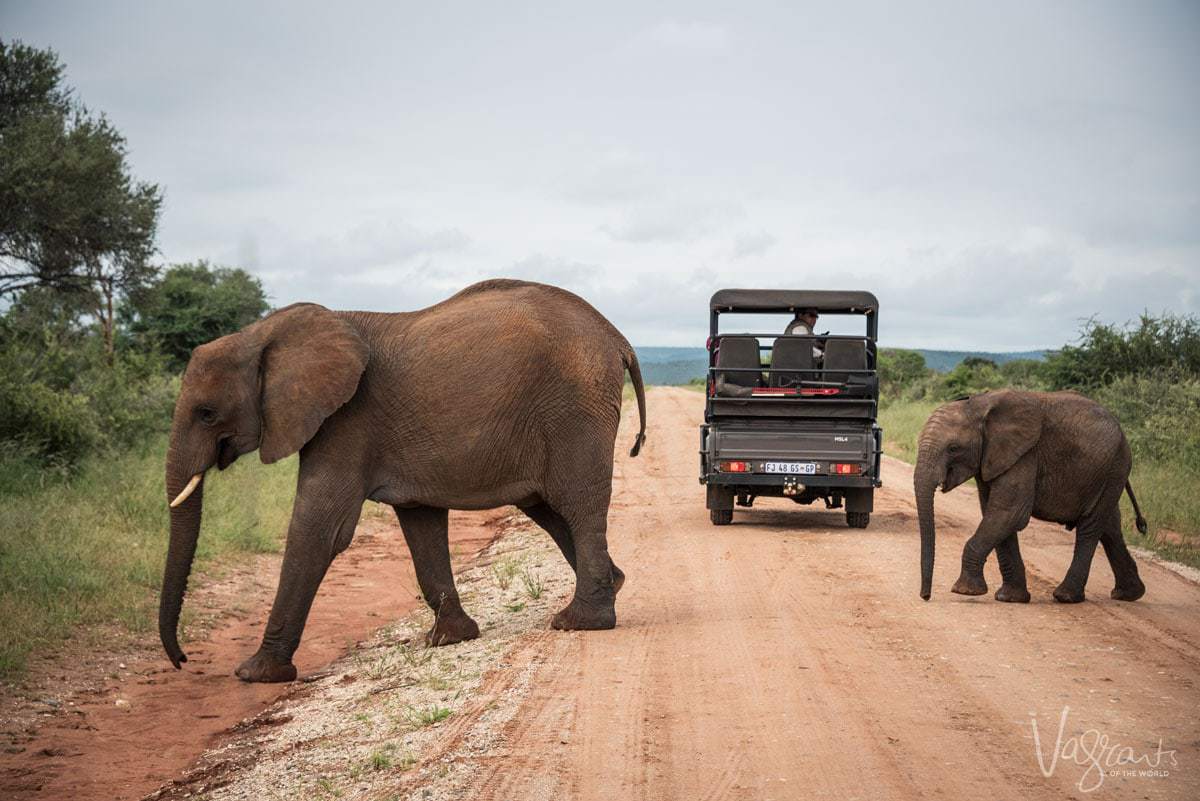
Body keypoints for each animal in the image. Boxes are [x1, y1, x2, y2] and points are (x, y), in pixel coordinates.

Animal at [163, 280, 648, 681]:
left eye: (206, 413)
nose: (182, 660)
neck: (261, 334)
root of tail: (618, 338)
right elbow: (420, 524)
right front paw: (448, 639)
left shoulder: (346, 421)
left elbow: (320, 528)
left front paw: (256, 674)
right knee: (547, 507)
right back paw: (613, 585)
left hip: (574, 409)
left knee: (577, 505)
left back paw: (579, 622)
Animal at [912, 390, 1147, 604]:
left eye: (953, 448)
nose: (926, 596)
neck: (979, 405)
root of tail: (1123, 433)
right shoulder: (993, 458)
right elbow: (996, 514)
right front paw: (1010, 598)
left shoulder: (1025, 455)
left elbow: (1010, 512)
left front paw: (965, 591)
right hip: (1107, 474)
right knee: (1109, 526)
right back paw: (1128, 594)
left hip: (1114, 467)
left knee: (1090, 528)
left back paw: (1066, 597)